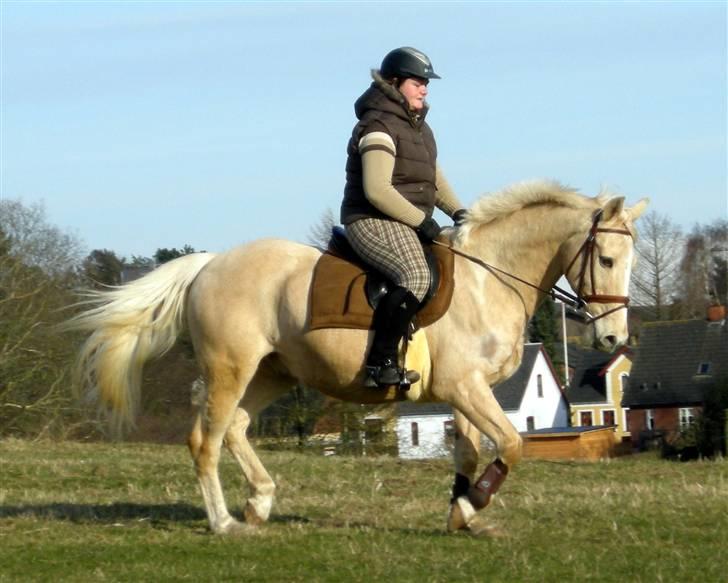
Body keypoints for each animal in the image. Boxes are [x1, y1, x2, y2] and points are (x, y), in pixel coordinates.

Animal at [67, 180, 648, 536]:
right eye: (606, 259)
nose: (611, 339)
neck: (489, 279)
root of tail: (210, 264)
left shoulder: (467, 391)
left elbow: (469, 452)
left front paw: (461, 515)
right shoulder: (465, 387)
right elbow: (510, 443)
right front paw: (474, 504)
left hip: (274, 372)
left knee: (235, 427)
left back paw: (259, 501)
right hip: (229, 368)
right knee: (204, 440)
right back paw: (224, 522)